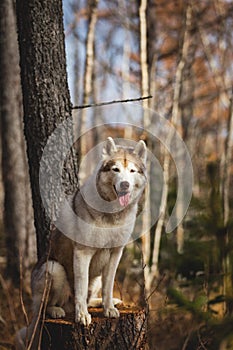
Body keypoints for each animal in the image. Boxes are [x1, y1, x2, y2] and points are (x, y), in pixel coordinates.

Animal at [15, 138, 147, 348]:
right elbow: (81, 285)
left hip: (96, 277)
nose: (125, 184)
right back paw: (57, 310)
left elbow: (109, 286)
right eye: (116, 169)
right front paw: (82, 315)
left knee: (90, 294)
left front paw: (108, 308)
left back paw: (104, 302)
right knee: (46, 309)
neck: (112, 214)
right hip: (54, 269)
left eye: (132, 171)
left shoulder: (115, 254)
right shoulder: (83, 253)